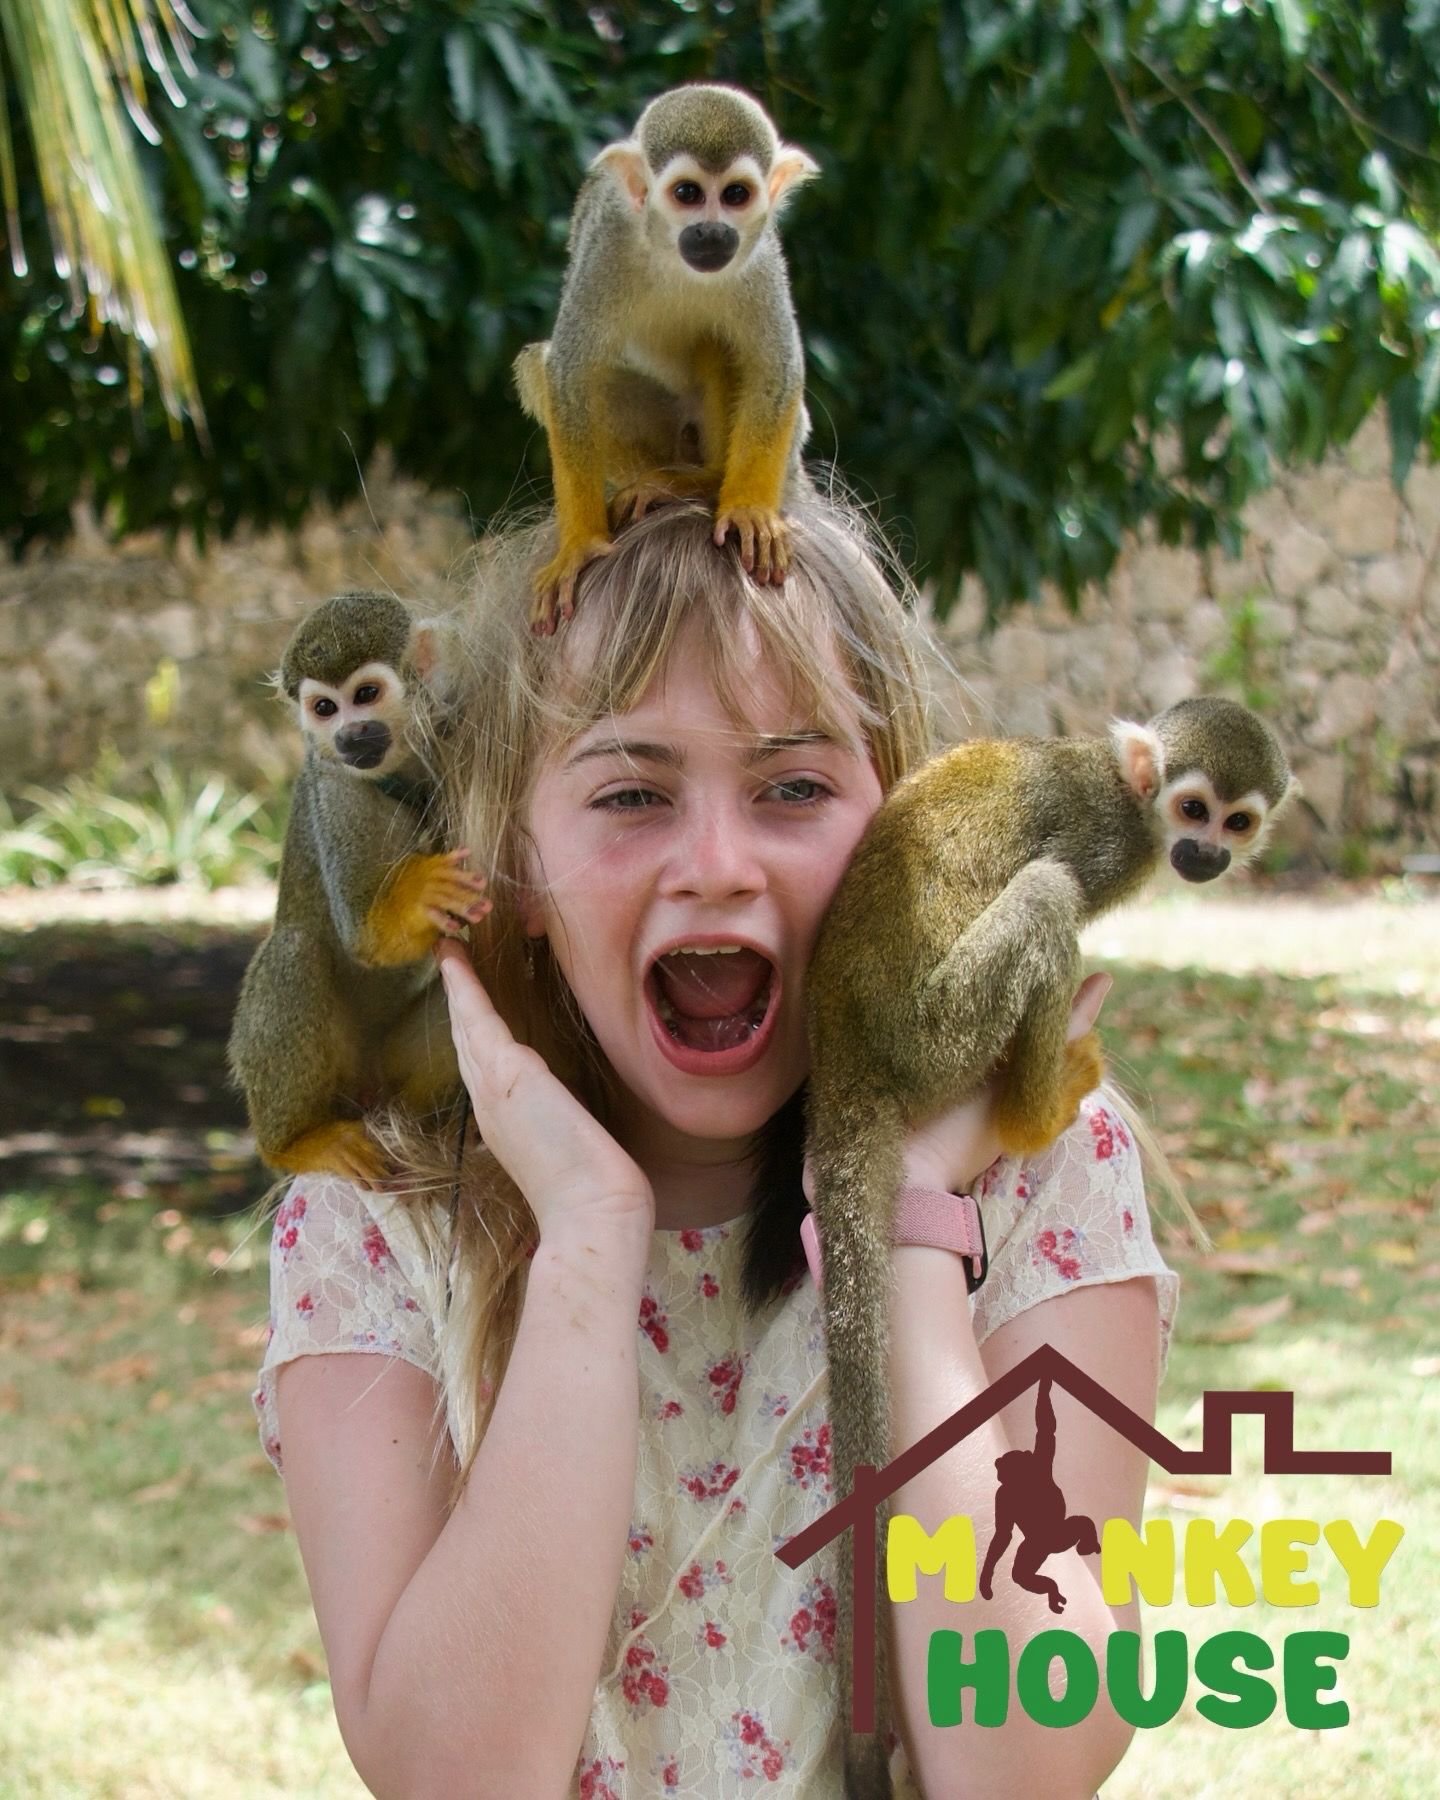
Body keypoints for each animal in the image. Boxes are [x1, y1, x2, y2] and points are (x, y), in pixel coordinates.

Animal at [228, 590, 491, 1186]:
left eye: (365, 695)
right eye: (325, 708)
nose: (348, 735)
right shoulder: (337, 788)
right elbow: (367, 936)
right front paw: (422, 896)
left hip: (392, 1066)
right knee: (294, 951)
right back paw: (294, 1143)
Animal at [515, 81, 820, 634]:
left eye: (736, 195)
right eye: (688, 194)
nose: (711, 233)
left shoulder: (761, 259)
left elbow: (774, 367)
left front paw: (748, 509)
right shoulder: (608, 246)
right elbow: (571, 372)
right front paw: (579, 546)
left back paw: (707, 480)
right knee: (539, 371)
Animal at [800, 696, 1293, 1798]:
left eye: (1237, 821)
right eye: (1191, 809)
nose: (1205, 853)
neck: (1131, 799)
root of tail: (841, 1040)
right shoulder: (1104, 842)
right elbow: (1064, 881)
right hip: (940, 1032)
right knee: (1046, 893)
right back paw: (1033, 1110)